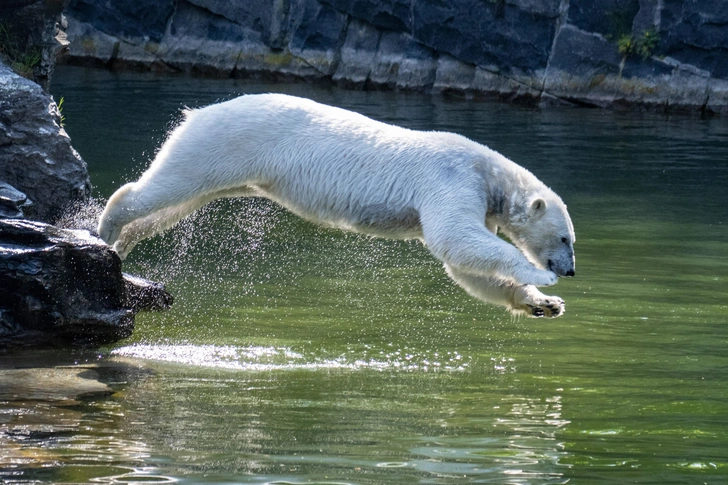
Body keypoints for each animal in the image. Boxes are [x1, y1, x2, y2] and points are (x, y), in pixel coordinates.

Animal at [98, 93, 576, 318]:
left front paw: (544, 304)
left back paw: (124, 243)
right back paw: (106, 228)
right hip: (226, 141)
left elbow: (466, 267)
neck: (488, 173)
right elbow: (456, 239)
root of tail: (200, 112)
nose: (571, 270)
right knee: (165, 186)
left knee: (174, 205)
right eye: (565, 238)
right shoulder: (450, 181)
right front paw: (542, 277)